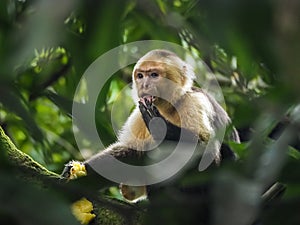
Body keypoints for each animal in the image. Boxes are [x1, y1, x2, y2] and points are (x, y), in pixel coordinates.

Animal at [62, 49, 240, 204]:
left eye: (154, 75)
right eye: (140, 76)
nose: (144, 85)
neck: (168, 108)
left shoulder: (194, 103)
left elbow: (206, 154)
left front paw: (159, 125)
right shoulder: (138, 114)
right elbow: (131, 152)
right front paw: (79, 172)